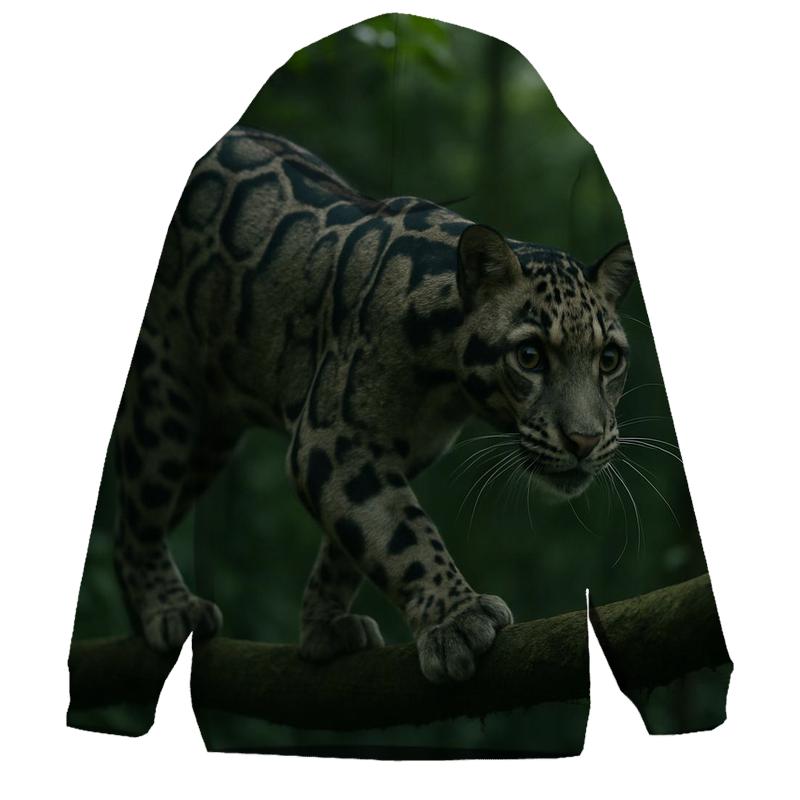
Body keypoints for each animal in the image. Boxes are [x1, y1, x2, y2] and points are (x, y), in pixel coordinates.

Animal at [111, 125, 635, 683]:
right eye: (530, 356)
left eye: (608, 359)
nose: (584, 441)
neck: (446, 384)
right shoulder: (334, 439)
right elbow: (401, 531)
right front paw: (457, 619)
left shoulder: (395, 451)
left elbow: (351, 542)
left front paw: (324, 627)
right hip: (166, 396)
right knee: (139, 515)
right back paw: (170, 609)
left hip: (208, 441)